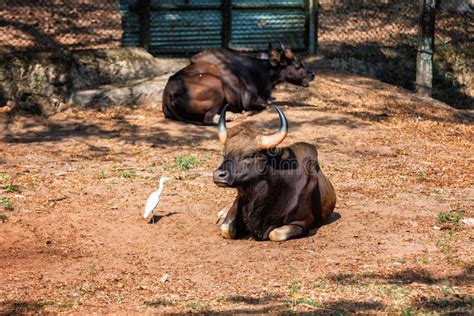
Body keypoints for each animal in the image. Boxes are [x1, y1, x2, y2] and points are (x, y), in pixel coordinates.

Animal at [163, 45, 314, 124]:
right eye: (297, 64)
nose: (312, 74)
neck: (260, 71)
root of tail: (169, 93)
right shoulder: (249, 100)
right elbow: (266, 105)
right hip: (216, 86)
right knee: (209, 119)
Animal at [211, 105, 336, 241]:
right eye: (225, 154)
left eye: (250, 155)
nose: (218, 175)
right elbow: (226, 229)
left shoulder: (301, 222)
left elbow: (274, 233)